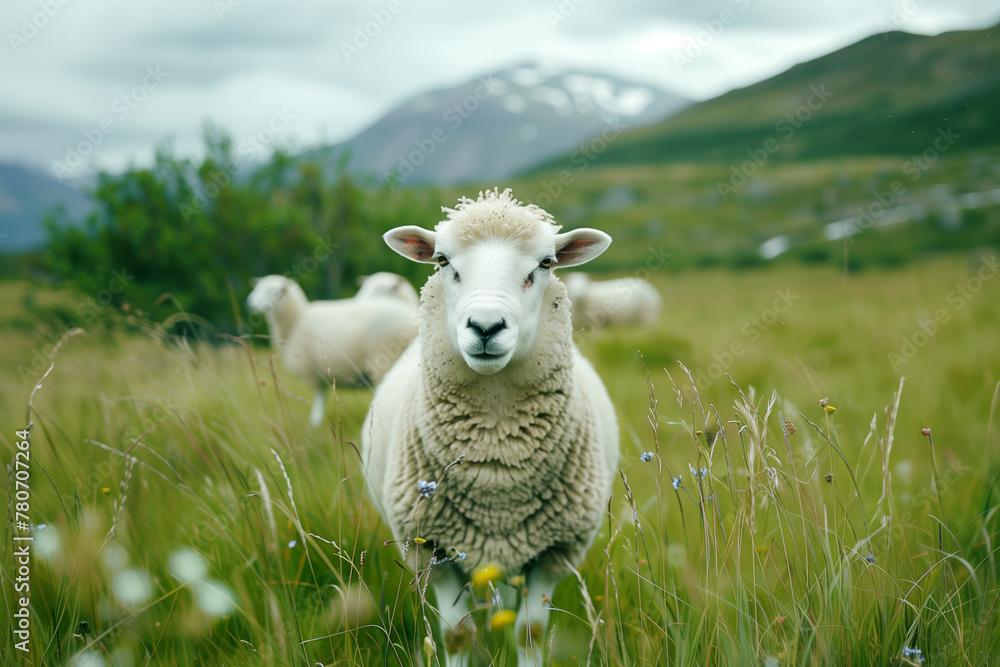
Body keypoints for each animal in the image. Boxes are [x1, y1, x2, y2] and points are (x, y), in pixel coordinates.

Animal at [246, 275, 418, 427]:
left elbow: (318, 402)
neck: (296, 321)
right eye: (257, 287)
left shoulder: (312, 370)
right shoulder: (320, 372)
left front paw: (314, 426)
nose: (250, 304)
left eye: (274, 291)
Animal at [362, 188, 619, 666]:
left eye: (546, 263)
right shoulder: (433, 549)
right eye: (442, 261)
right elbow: (456, 635)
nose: (485, 326)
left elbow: (529, 635)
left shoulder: (553, 554)